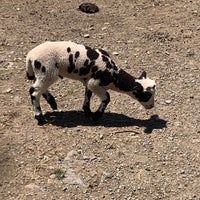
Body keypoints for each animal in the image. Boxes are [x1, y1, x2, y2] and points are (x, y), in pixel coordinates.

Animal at [25, 41, 155, 124]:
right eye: (146, 95)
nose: (152, 106)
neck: (114, 75)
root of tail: (30, 56)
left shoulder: (89, 80)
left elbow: (88, 96)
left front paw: (87, 112)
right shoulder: (95, 82)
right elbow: (107, 97)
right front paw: (96, 115)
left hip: (42, 74)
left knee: (38, 87)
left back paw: (52, 102)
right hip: (47, 70)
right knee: (34, 91)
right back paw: (40, 117)